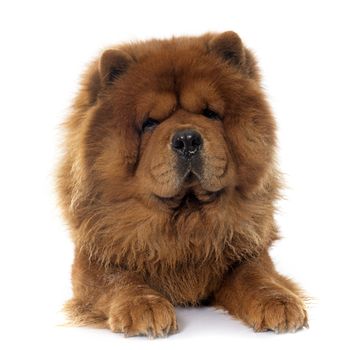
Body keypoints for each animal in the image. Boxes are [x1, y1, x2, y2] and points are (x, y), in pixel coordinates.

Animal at [56, 32, 308, 336]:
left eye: (210, 113)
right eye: (150, 123)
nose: (187, 139)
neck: (185, 218)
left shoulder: (246, 250)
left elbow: (256, 275)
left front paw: (278, 302)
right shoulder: (94, 259)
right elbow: (119, 280)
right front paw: (145, 307)